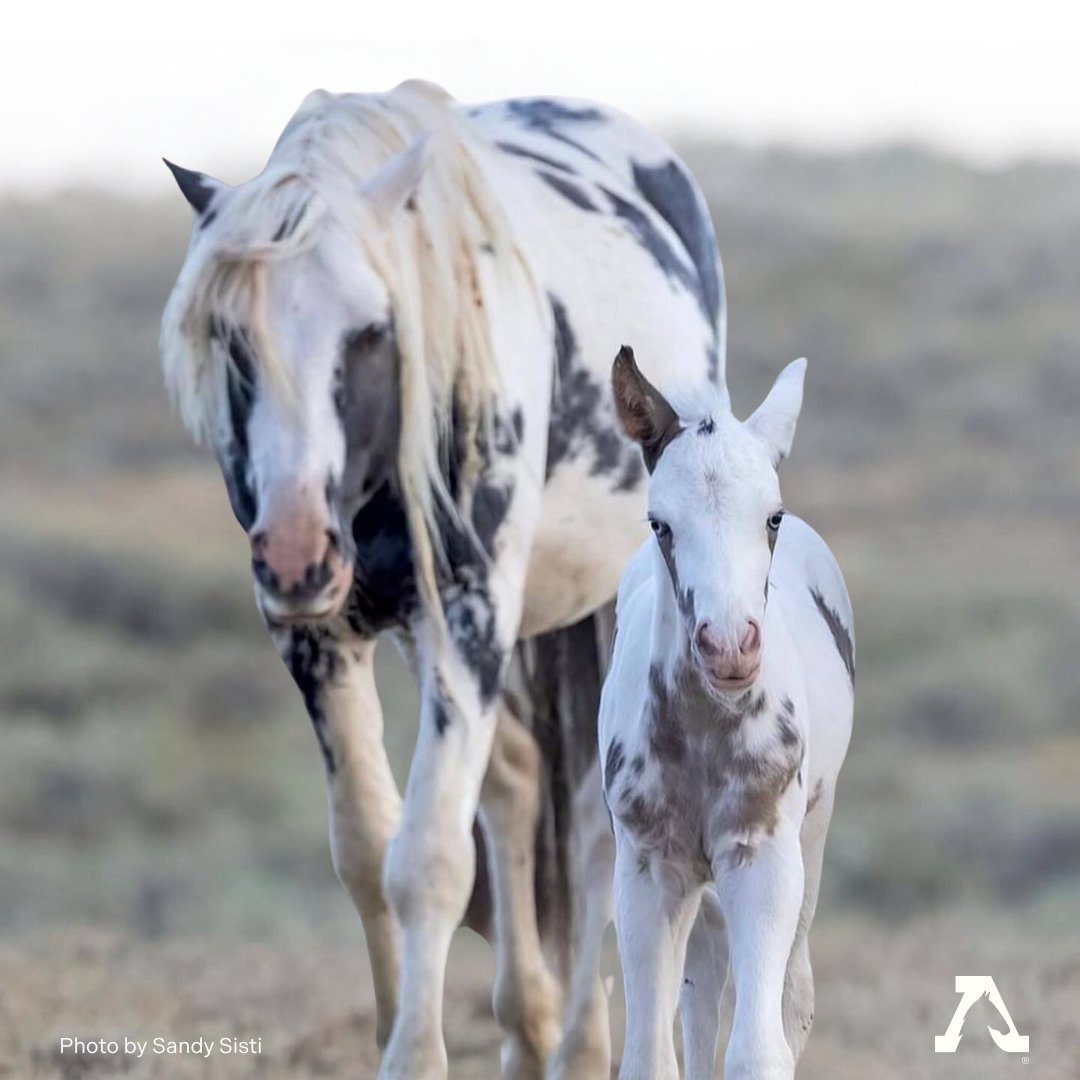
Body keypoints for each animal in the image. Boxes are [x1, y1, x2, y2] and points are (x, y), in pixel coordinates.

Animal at [160, 80, 726, 1078]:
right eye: (231, 336)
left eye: (370, 330)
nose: (296, 548)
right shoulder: (316, 636)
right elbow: (367, 848)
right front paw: (397, 1030)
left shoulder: (469, 612)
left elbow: (427, 859)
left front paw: (415, 1056)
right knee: (517, 783)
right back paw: (529, 1026)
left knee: (588, 823)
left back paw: (582, 1044)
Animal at [599, 348, 854, 1079]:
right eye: (660, 523)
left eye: (771, 516)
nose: (730, 646)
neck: (704, 731)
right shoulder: (649, 869)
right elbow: (650, 1055)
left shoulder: (761, 856)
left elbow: (758, 1050)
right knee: (702, 987)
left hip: (810, 840)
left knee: (791, 995)